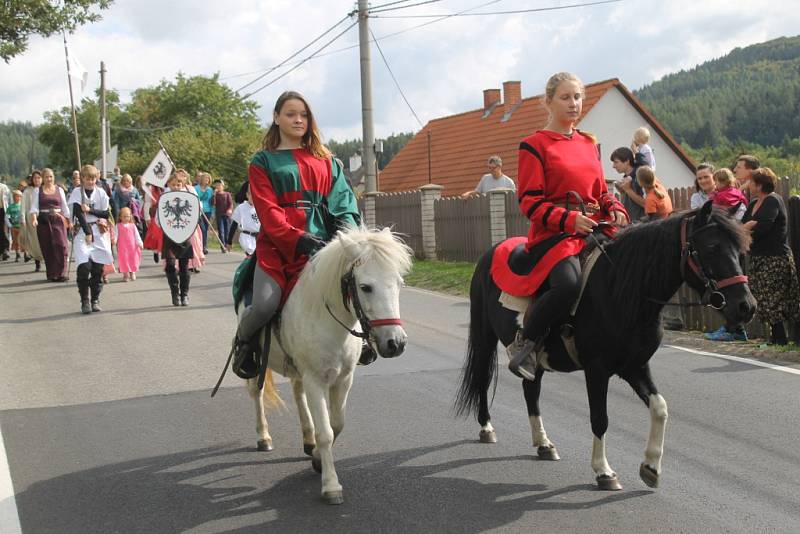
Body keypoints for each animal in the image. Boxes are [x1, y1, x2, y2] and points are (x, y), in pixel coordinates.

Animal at [239, 226, 412, 506]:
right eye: (365, 287)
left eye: (399, 284)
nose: (395, 343)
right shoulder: (316, 381)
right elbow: (326, 432)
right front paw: (331, 485)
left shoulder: (343, 379)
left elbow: (336, 424)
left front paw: (318, 460)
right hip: (259, 364)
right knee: (258, 393)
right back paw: (263, 437)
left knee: (297, 393)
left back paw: (307, 439)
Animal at [456, 203, 756, 492]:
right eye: (712, 247)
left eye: (740, 250)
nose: (746, 307)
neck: (622, 290)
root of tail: (493, 250)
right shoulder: (596, 369)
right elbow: (600, 418)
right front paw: (604, 471)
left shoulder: (635, 366)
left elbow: (660, 408)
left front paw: (651, 467)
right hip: (484, 337)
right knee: (482, 378)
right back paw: (487, 428)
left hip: (536, 359)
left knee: (532, 391)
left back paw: (544, 444)